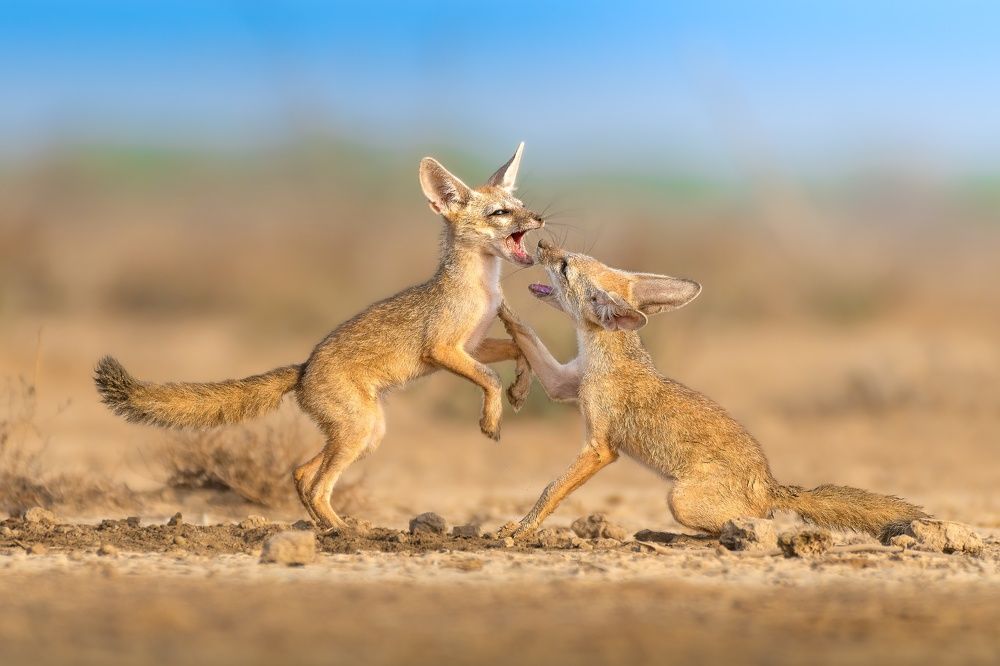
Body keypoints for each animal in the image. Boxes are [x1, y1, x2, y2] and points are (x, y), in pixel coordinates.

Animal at [95, 143, 545, 531]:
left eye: (522, 207)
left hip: (366, 434)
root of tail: (303, 368)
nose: (540, 219)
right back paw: (344, 531)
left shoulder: (473, 345)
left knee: (300, 473)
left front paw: (521, 389)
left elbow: (518, 349)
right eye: (501, 213)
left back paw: (328, 526)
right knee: (315, 485)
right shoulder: (443, 349)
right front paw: (491, 419)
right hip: (360, 431)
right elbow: (489, 377)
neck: (482, 288)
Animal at [497, 239, 927, 541]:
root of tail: (771, 486)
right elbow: (527, 334)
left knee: (743, 528)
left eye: (564, 266)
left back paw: (670, 537)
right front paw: (497, 304)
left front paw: (521, 530)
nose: (542, 244)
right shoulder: (561, 384)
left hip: (679, 499)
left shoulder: (600, 448)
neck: (604, 357)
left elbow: (551, 489)